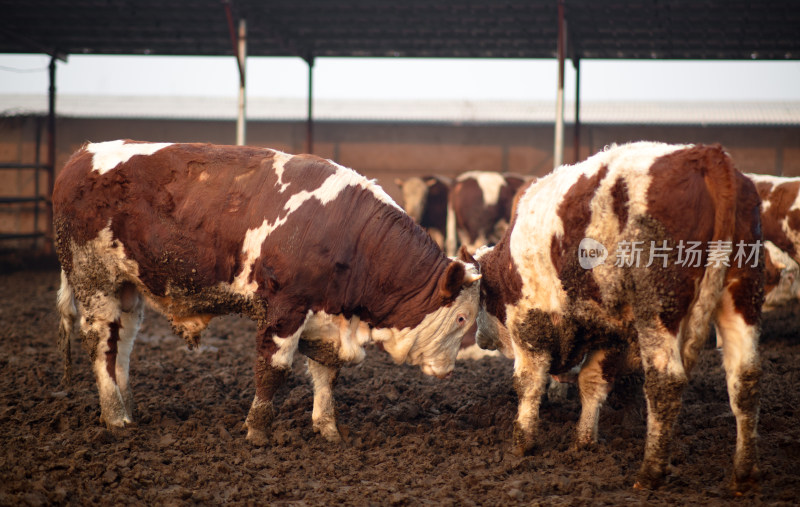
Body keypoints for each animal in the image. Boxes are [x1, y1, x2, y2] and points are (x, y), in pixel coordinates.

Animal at [56, 139, 484, 444]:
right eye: (462, 318)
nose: (448, 370)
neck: (350, 234)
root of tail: (79, 156)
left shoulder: (326, 317)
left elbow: (327, 374)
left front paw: (328, 428)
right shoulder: (284, 309)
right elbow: (273, 369)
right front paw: (257, 430)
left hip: (127, 291)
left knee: (122, 345)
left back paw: (127, 409)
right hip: (94, 282)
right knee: (100, 343)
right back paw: (115, 417)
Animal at [468, 142, 764, 492]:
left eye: (482, 297)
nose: (479, 338)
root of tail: (705, 156)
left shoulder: (530, 322)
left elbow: (528, 383)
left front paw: (522, 443)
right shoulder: (610, 333)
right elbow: (592, 382)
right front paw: (584, 442)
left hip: (658, 308)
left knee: (666, 381)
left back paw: (650, 473)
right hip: (741, 297)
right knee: (745, 379)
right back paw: (743, 475)